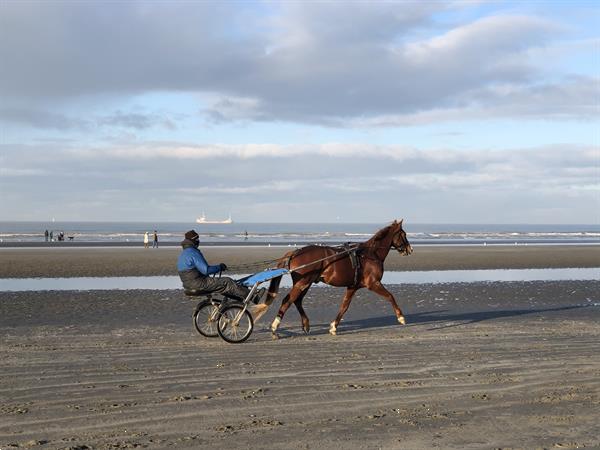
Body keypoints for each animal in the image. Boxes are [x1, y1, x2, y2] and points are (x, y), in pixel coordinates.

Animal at [264, 220, 414, 336]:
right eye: (404, 234)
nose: (410, 249)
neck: (370, 254)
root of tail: (296, 251)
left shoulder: (353, 287)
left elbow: (344, 306)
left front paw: (333, 326)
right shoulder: (373, 283)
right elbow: (390, 296)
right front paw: (401, 317)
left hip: (306, 283)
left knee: (297, 301)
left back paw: (305, 324)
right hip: (303, 282)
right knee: (287, 300)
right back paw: (275, 325)